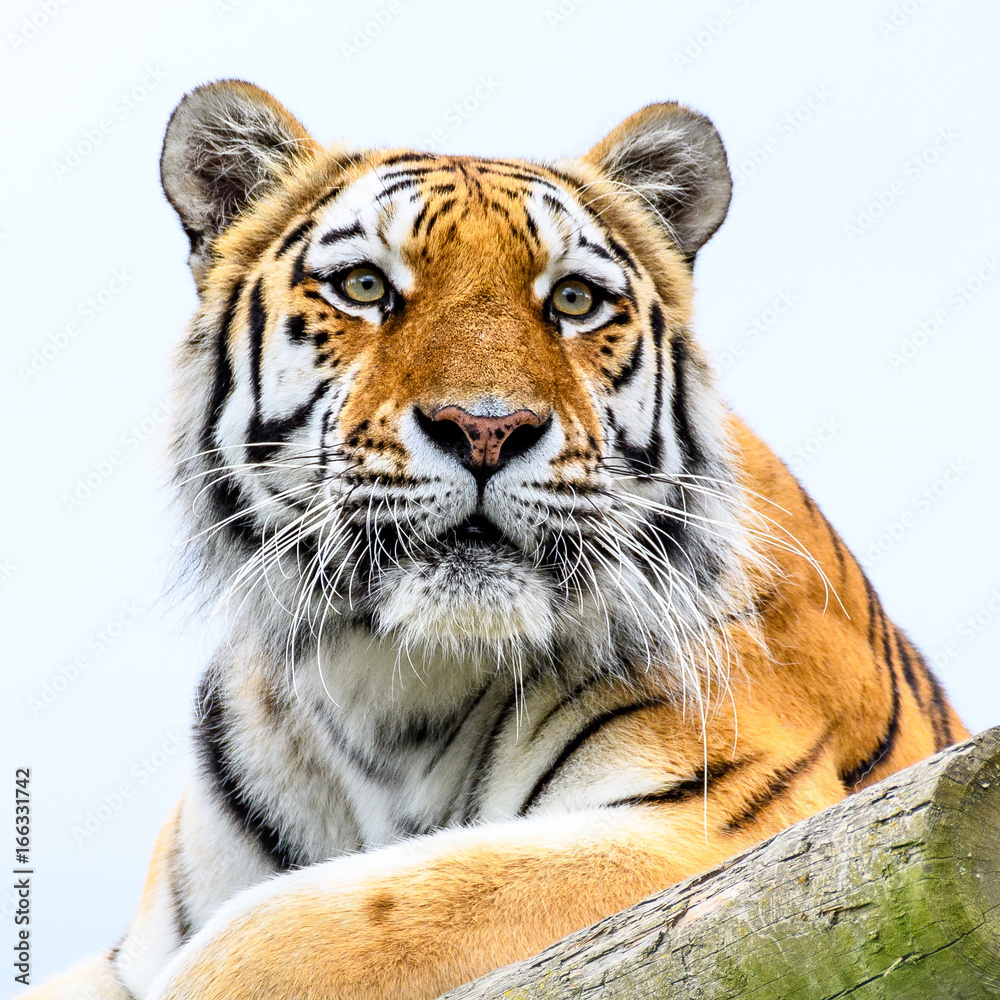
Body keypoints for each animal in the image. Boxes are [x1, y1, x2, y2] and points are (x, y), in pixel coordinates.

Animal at [27, 80, 967, 1000]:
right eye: (363, 286)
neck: (386, 693)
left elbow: (309, 928)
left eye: (574, 301)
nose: (486, 428)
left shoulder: (731, 824)